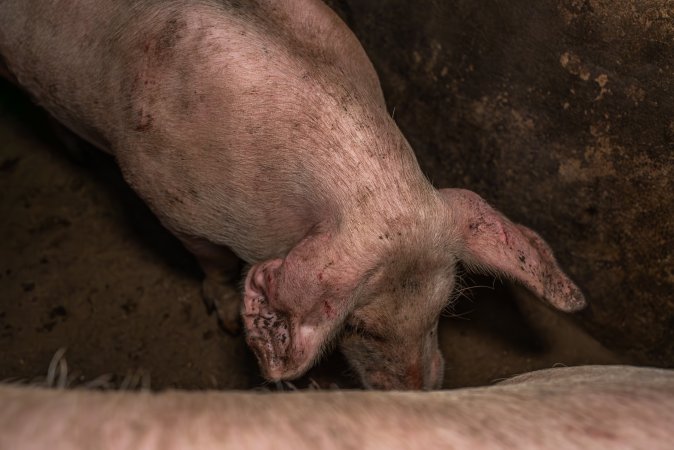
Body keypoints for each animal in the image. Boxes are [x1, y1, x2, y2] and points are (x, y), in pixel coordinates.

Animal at [0, 0, 586, 389]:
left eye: (443, 308)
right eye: (357, 325)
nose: (419, 392)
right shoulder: (167, 201)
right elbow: (212, 262)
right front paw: (227, 320)